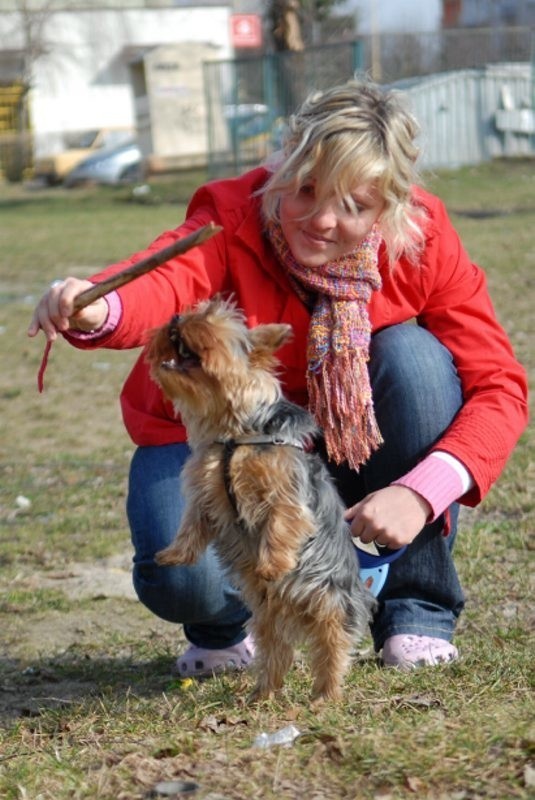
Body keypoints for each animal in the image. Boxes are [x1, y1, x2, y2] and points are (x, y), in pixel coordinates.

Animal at [144, 296, 374, 700]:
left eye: (209, 319)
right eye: (191, 312)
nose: (175, 318)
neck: (236, 435)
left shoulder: (285, 494)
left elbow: (281, 524)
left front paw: (270, 565)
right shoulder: (207, 491)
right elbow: (192, 522)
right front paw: (174, 554)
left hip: (330, 604)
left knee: (331, 649)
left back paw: (325, 696)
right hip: (268, 619)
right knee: (276, 652)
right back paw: (262, 693)